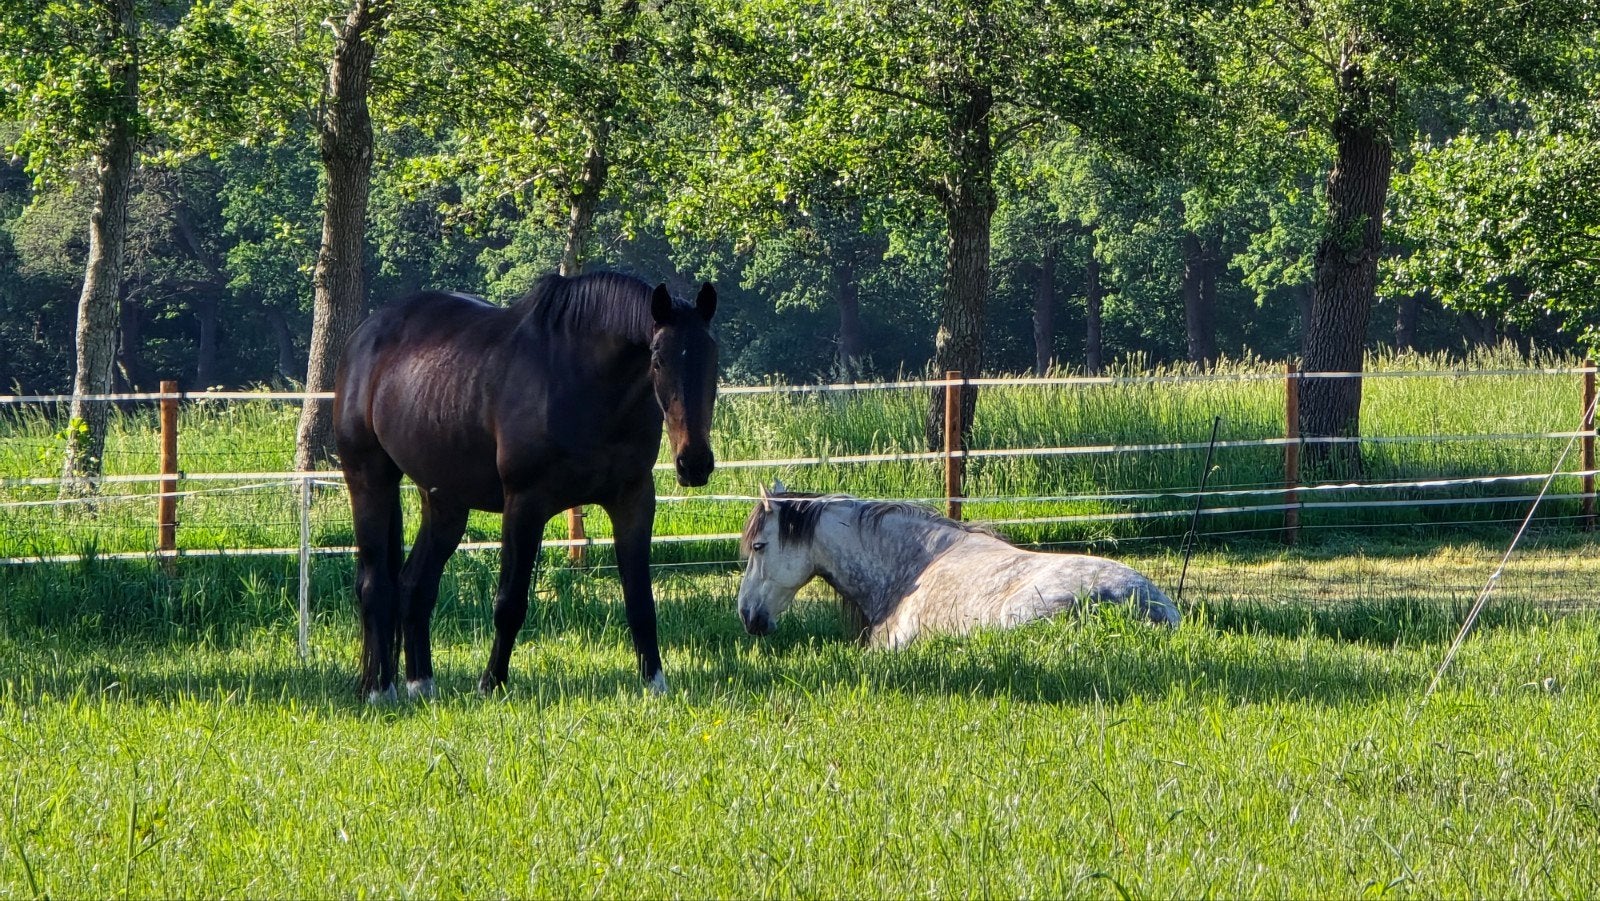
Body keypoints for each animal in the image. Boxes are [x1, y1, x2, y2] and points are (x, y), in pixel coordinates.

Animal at [333, 272, 718, 702]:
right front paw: (491, 684)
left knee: (415, 585)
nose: (695, 462)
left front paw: (655, 683)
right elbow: (510, 603)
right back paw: (379, 688)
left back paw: (421, 684)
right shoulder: (524, 505)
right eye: (657, 359)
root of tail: (365, 334)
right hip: (368, 480)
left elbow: (640, 602)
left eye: (713, 357)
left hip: (445, 502)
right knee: (375, 585)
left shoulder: (633, 500)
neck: (582, 382)